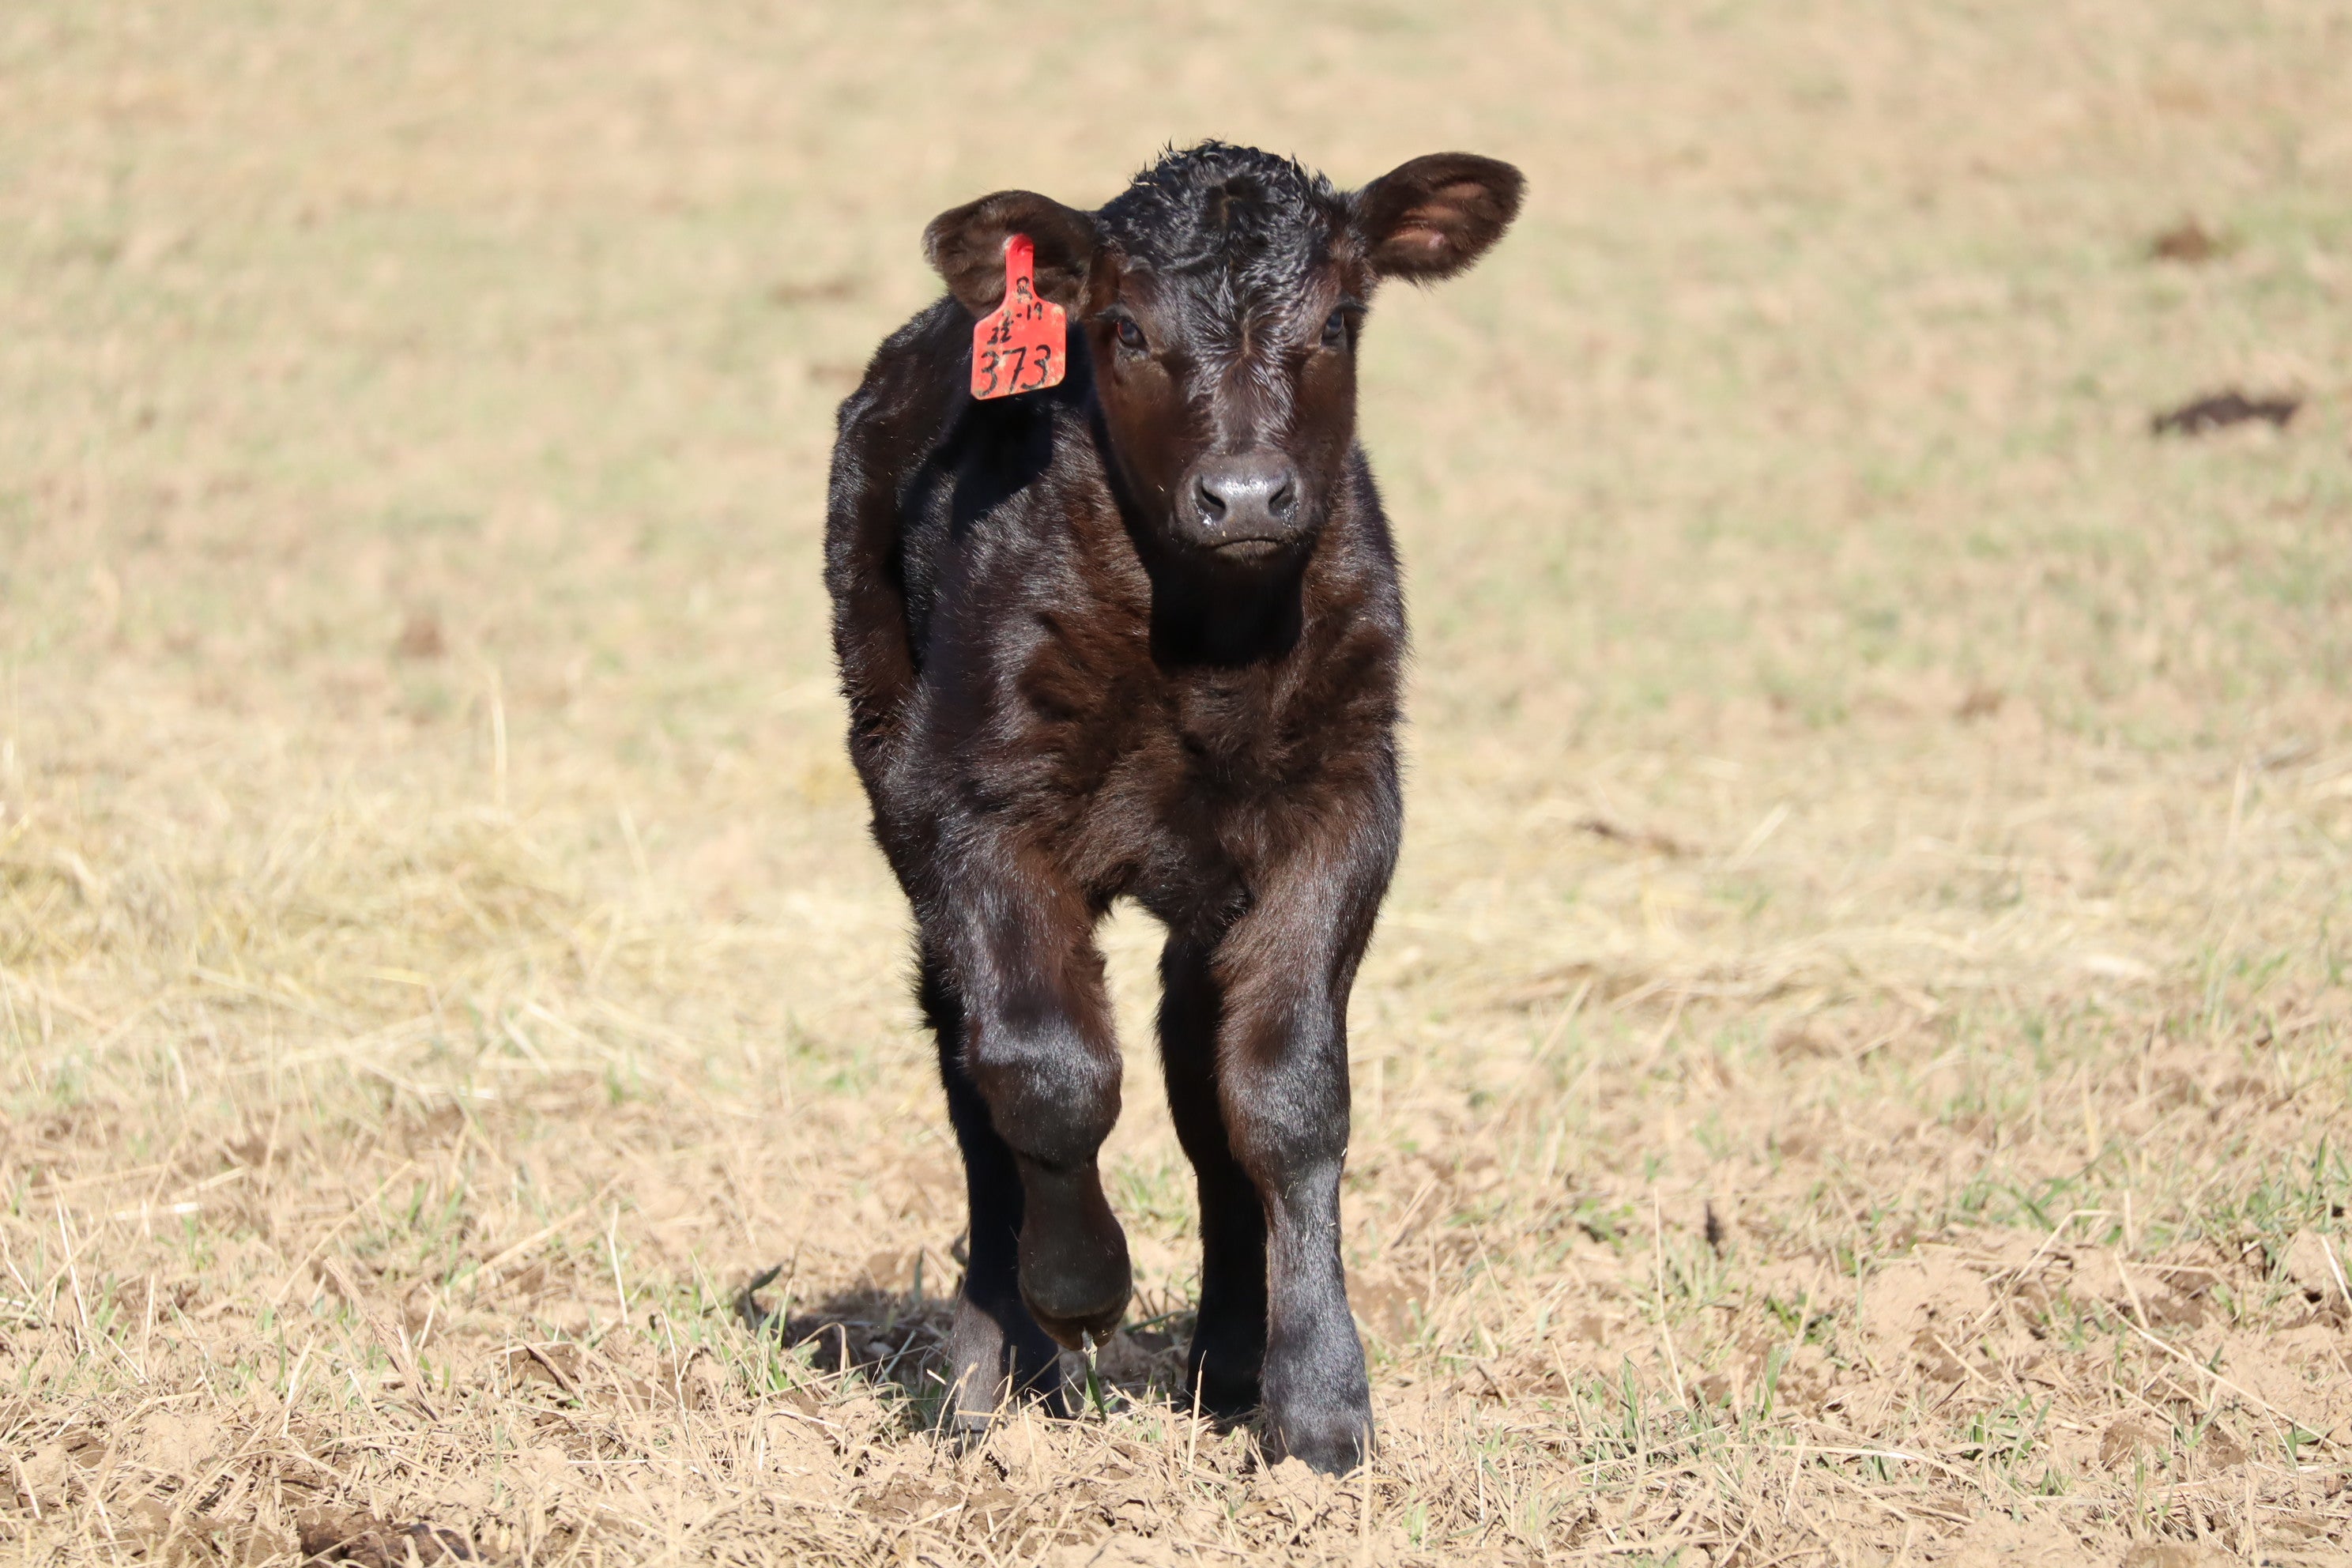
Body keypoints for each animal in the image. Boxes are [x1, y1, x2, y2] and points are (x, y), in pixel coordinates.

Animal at [823, 141, 1522, 1473]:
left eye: (1338, 321)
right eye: (1126, 330)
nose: (1246, 497)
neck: (1212, 644)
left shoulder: (1347, 804)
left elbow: (1287, 1095)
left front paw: (1319, 1407)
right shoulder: (974, 806)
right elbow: (1046, 1070)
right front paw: (1078, 1291)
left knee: (1199, 1077)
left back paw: (1228, 1360)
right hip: (892, 778)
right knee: (972, 1066)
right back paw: (994, 1371)